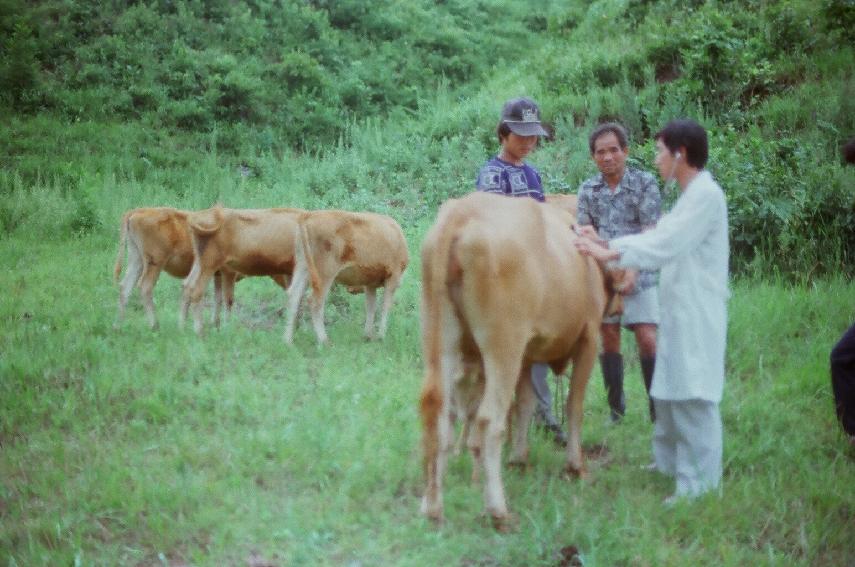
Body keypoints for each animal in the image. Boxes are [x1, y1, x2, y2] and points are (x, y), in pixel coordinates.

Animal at [181, 206, 300, 336]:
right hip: (209, 265)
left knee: (187, 285)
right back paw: (199, 331)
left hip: (200, 263)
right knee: (197, 291)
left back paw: (182, 327)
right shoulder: (228, 272)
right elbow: (227, 299)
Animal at [284, 210, 412, 346]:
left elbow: (371, 307)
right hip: (325, 272)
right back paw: (324, 341)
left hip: (303, 266)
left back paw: (288, 341)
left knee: (294, 296)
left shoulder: (370, 283)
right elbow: (385, 306)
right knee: (314, 301)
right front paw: (381, 336)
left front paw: (368, 336)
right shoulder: (393, 277)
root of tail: (309, 215)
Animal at [420, 193, 616, 532]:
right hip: (503, 345)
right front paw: (575, 465)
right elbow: (574, 405)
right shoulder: (589, 338)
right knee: (489, 421)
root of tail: (461, 214)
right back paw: (497, 510)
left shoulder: (527, 354)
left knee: (439, 415)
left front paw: (519, 458)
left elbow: (525, 404)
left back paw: (433, 507)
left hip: (442, 340)